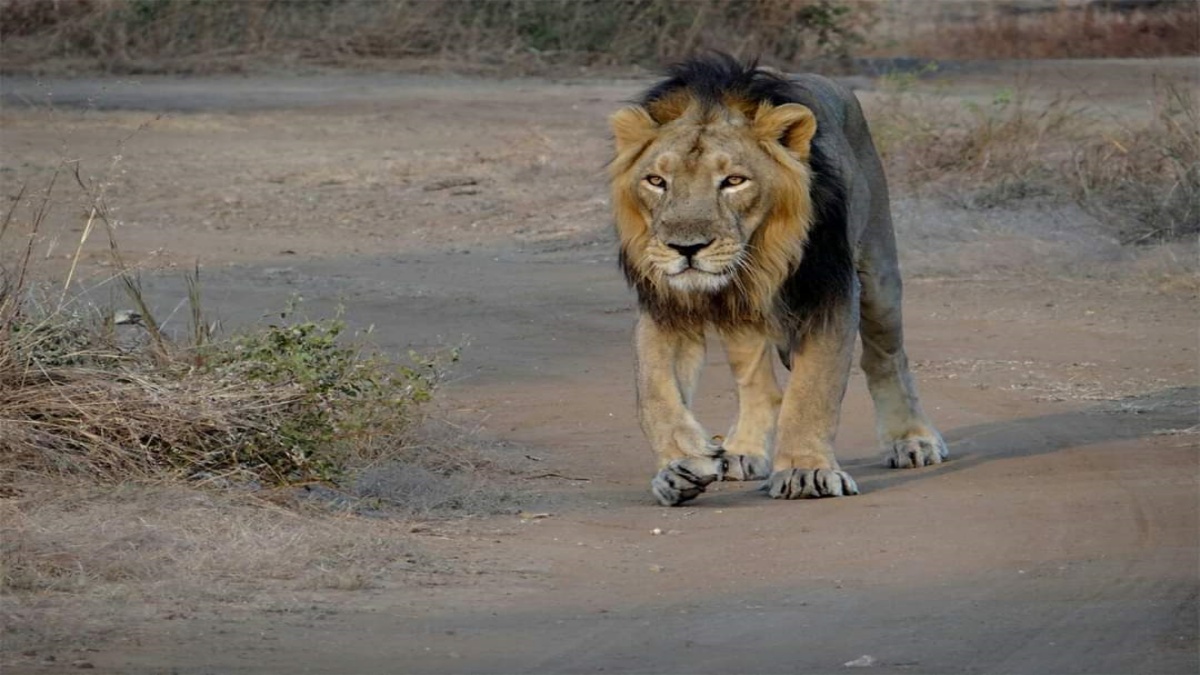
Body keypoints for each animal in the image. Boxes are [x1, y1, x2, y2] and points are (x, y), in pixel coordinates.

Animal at [609, 55, 945, 502]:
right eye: (656, 181)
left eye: (734, 181)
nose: (686, 248)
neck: (757, 261)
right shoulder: (667, 304)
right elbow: (654, 393)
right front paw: (683, 463)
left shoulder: (830, 294)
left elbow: (812, 390)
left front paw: (805, 472)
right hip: (742, 320)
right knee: (759, 385)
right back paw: (741, 451)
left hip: (879, 274)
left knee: (887, 357)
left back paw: (912, 439)